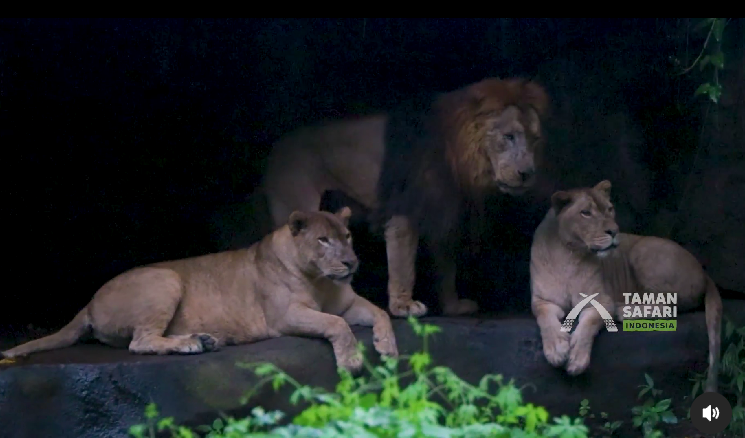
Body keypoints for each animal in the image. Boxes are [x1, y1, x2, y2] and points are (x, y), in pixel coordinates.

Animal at [2, 207, 398, 372]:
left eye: (347, 237)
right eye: (322, 240)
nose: (351, 263)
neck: (321, 281)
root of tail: (88, 301)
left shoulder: (349, 303)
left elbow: (379, 312)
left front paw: (387, 347)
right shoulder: (284, 317)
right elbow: (336, 325)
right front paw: (352, 361)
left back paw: (206, 339)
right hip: (164, 279)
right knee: (140, 342)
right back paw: (193, 343)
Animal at [260, 77, 548, 318]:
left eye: (535, 140)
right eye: (508, 136)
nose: (528, 173)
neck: (460, 155)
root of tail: (276, 147)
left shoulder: (441, 208)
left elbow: (446, 264)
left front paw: (453, 306)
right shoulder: (405, 209)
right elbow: (403, 264)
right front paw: (403, 306)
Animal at [528, 180, 720, 392]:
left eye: (610, 209)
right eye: (585, 213)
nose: (614, 231)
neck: (569, 255)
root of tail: (704, 272)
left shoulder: (602, 300)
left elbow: (588, 325)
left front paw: (576, 358)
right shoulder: (543, 300)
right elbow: (545, 319)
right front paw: (556, 349)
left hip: (642, 252)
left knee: (669, 305)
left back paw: (623, 310)